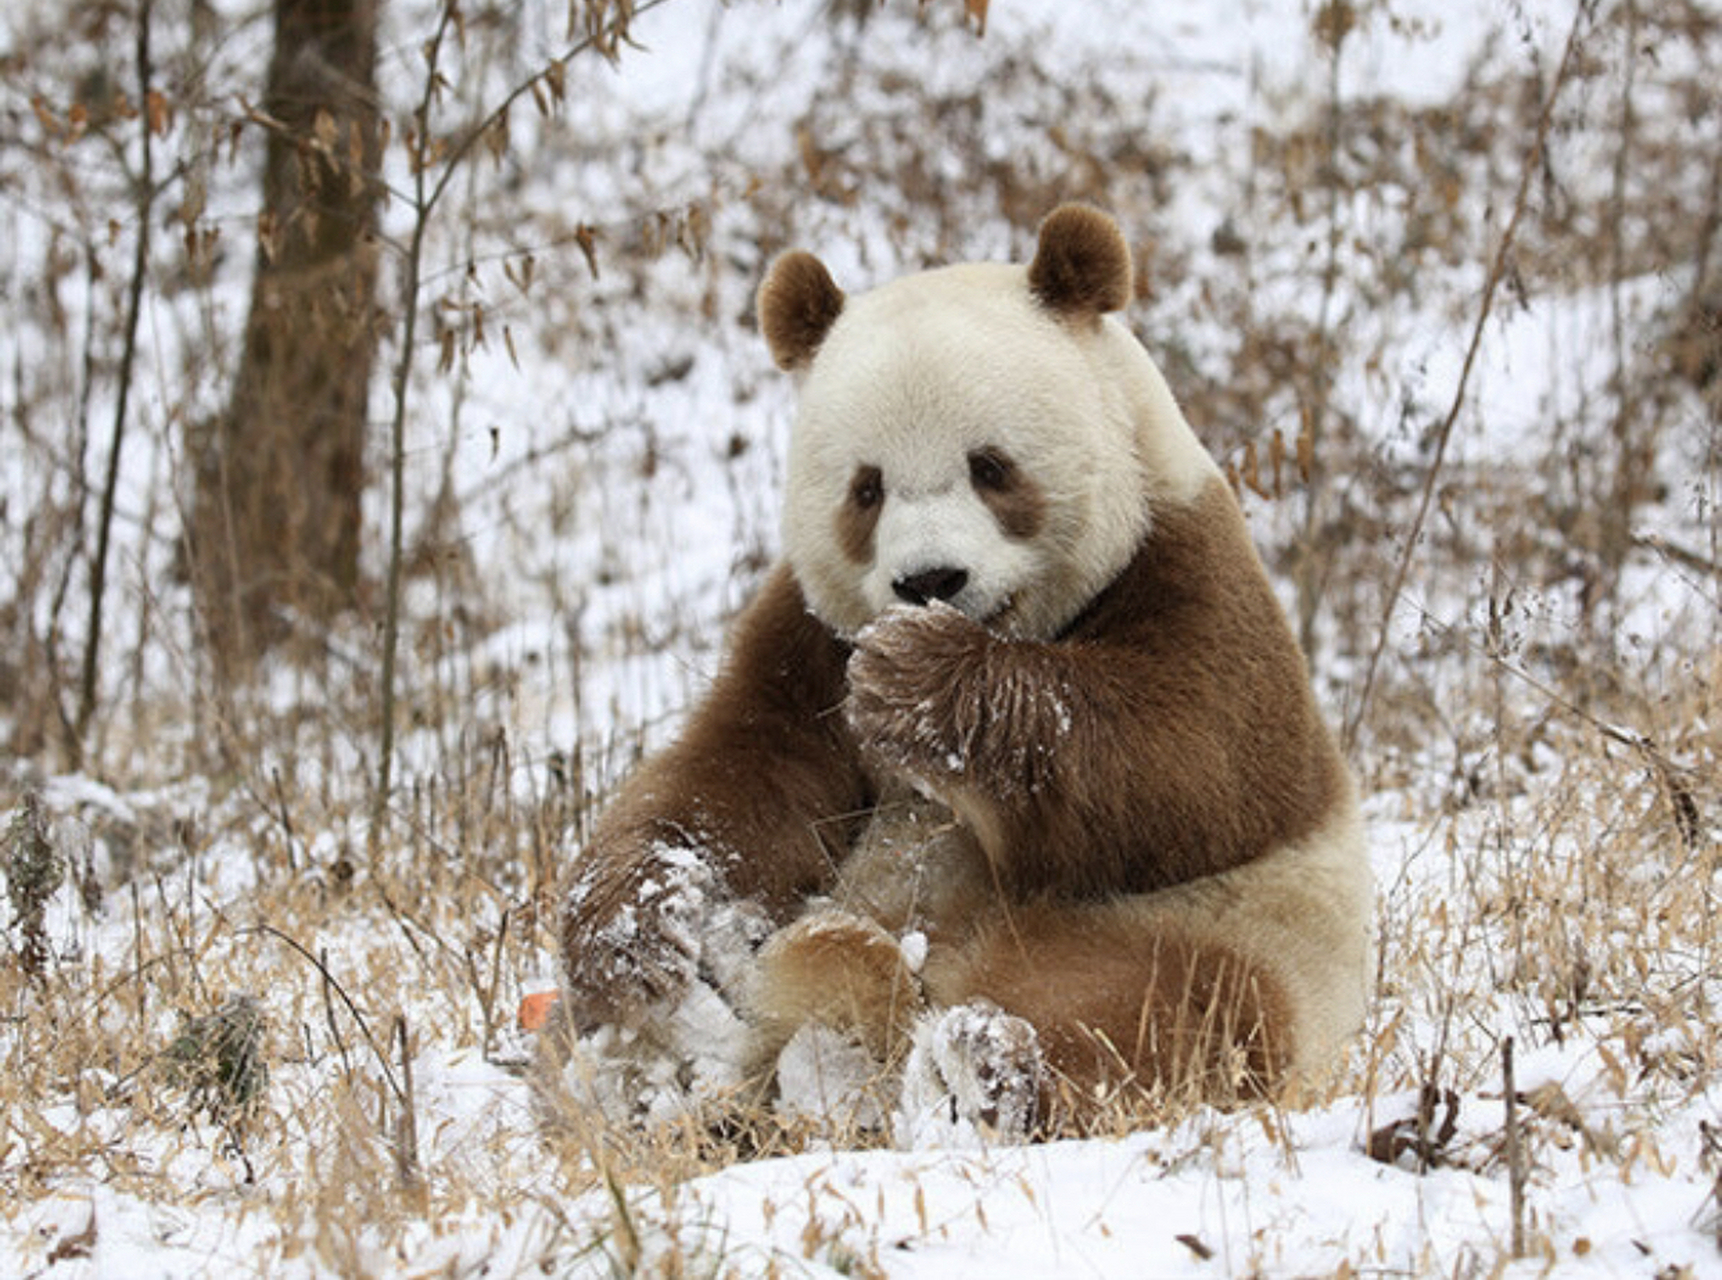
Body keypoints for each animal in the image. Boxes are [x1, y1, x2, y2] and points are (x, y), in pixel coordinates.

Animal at [545, 204, 1373, 1139]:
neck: (1018, 629)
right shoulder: (807, 637)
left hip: (1217, 926)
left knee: (1165, 1010)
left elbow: (1198, 761)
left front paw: (917, 682)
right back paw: (668, 1082)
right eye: (866, 489)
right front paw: (643, 930)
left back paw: (977, 1067)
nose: (929, 580)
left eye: (991, 467)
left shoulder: (1188, 562)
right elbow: (740, 779)